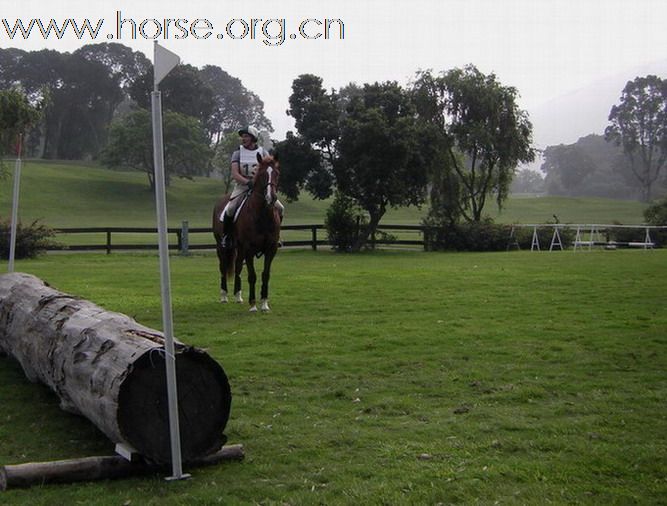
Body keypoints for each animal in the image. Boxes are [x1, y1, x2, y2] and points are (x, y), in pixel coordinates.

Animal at [211, 152, 280, 312]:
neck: (262, 215)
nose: (272, 197)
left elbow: (265, 275)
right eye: (262, 175)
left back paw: (238, 296)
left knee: (237, 266)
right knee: (223, 267)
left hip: (239, 248)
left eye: (277, 174)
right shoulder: (249, 249)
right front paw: (253, 305)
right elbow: (252, 275)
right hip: (222, 247)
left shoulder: (271, 249)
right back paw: (224, 296)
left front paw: (264, 304)